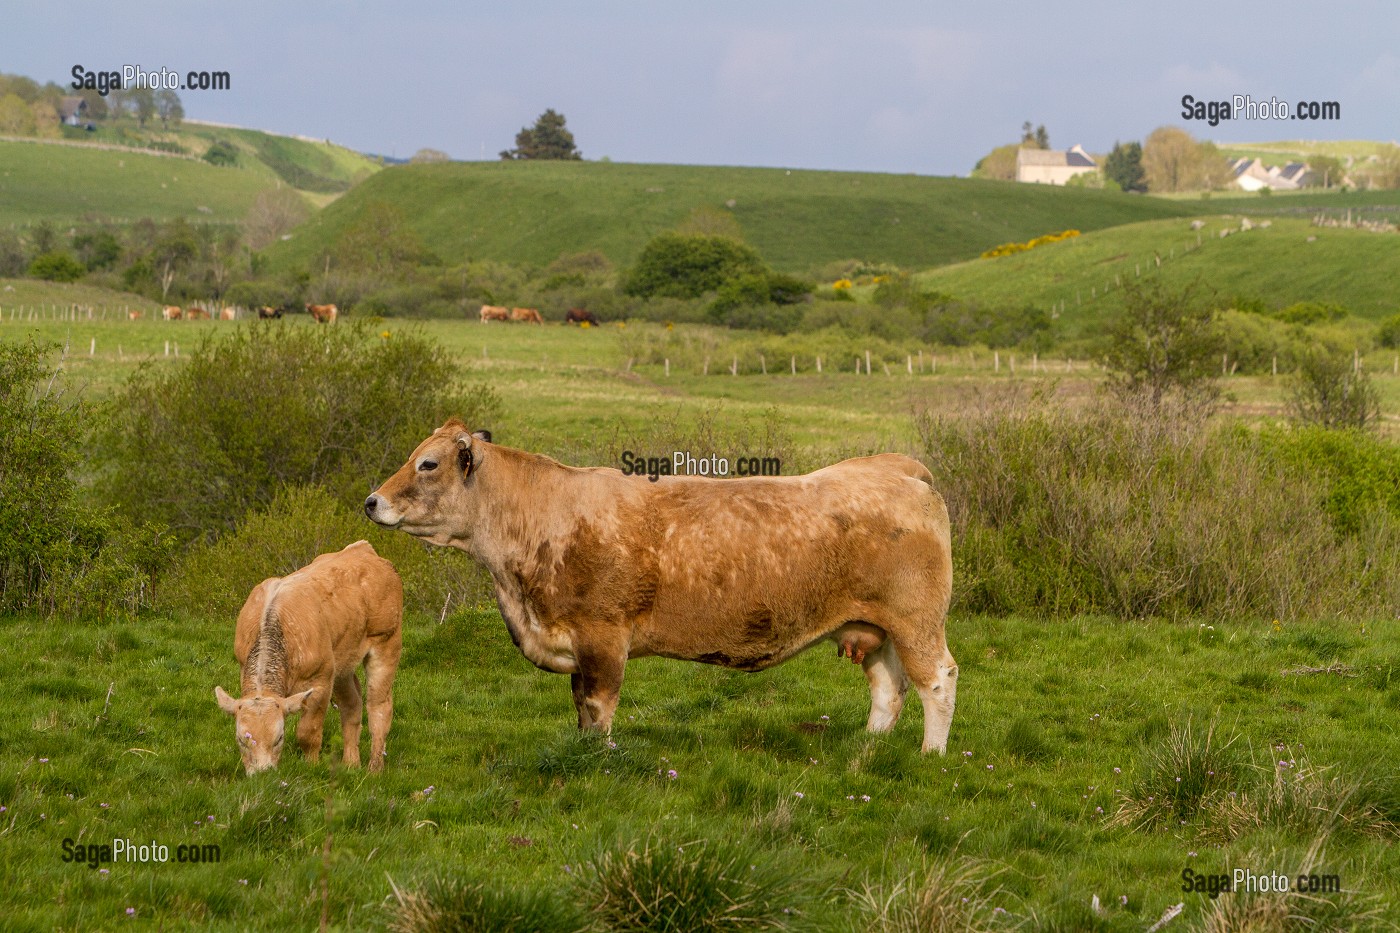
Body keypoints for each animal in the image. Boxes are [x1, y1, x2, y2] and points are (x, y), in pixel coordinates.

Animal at [213, 541, 403, 775]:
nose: (262, 774)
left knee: (379, 706)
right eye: (242, 740)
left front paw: (311, 766)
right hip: (340, 662)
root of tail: (364, 549)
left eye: (279, 738)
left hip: (387, 642)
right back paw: (351, 764)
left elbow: (308, 732)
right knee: (352, 703)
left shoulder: (320, 681)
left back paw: (374, 768)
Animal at [365, 421, 957, 754]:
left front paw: (599, 759)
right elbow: (580, 706)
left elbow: (599, 706)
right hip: (872, 626)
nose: (372, 500)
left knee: (937, 681)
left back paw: (931, 755)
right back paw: (870, 746)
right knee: (888, 687)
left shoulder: (603, 635)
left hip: (917, 620)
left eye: (428, 463)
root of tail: (895, 465)